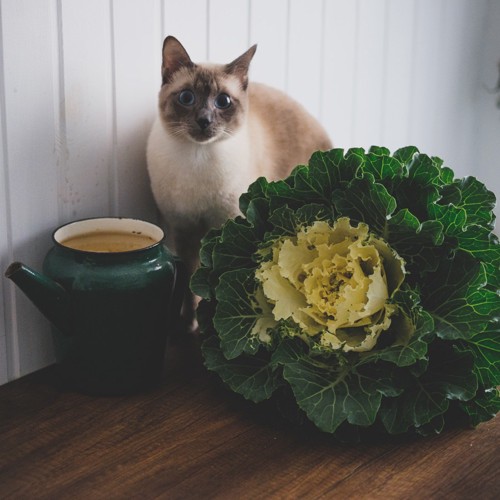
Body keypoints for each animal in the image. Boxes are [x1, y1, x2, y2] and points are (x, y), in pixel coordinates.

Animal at [146, 36, 332, 328]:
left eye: (223, 101)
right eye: (187, 98)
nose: (204, 121)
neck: (198, 159)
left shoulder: (226, 227)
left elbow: (215, 281)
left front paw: (212, 323)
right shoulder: (185, 229)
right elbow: (190, 284)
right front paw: (189, 323)